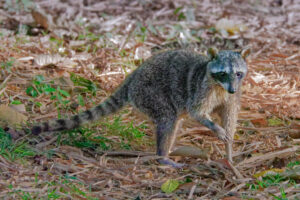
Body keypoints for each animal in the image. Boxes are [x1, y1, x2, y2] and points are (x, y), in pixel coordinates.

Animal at [31, 48, 250, 167]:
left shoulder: (234, 95)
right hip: (148, 92)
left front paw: (229, 152)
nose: (231, 89)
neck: (221, 87)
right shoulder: (203, 89)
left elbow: (230, 117)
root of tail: (133, 76)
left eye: (238, 73)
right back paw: (162, 156)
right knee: (167, 119)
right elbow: (196, 111)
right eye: (223, 73)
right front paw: (216, 129)